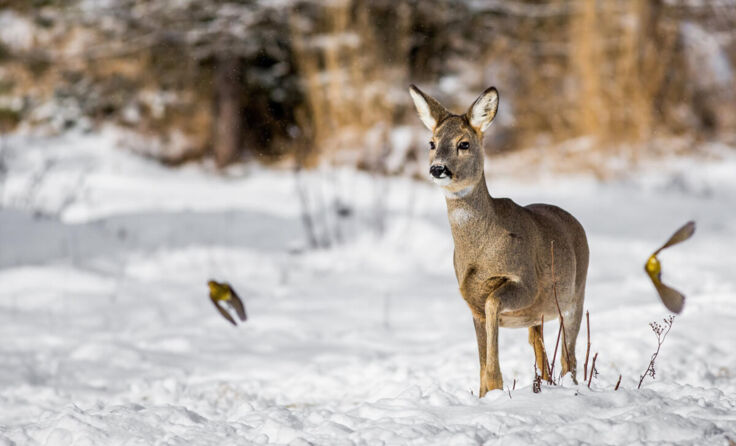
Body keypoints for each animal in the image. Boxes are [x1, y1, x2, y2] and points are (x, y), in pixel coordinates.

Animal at [408, 85, 589, 397]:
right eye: (431, 143)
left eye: (464, 143)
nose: (438, 169)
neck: (480, 252)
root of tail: (574, 221)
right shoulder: (471, 302)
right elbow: (481, 362)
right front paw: (486, 394)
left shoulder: (527, 282)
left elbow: (493, 302)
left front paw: (496, 385)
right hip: (540, 316)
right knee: (541, 349)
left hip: (576, 294)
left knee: (570, 355)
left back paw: (571, 386)